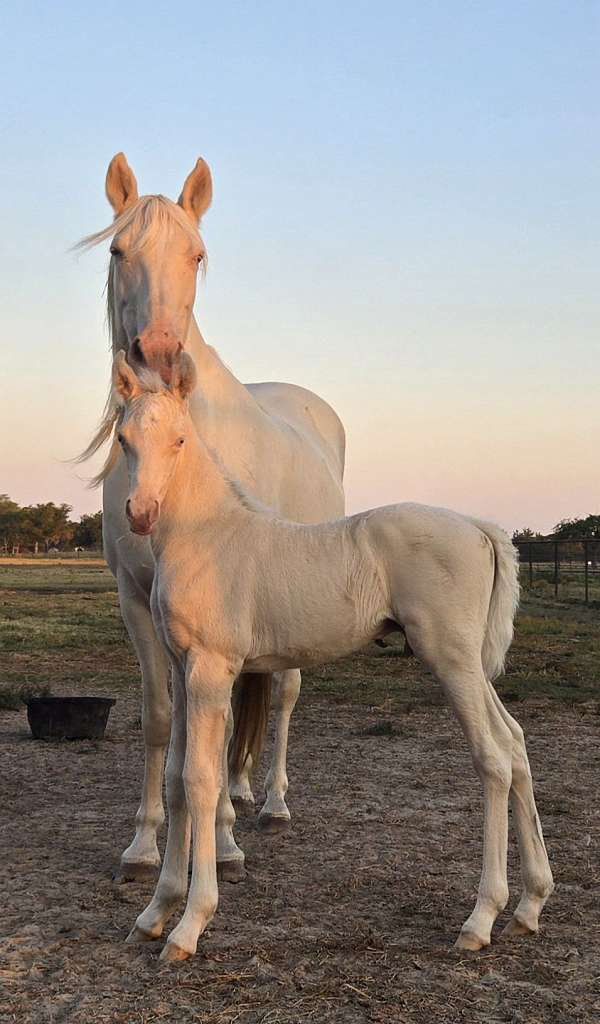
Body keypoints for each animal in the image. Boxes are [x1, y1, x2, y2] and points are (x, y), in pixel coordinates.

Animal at [77, 151, 344, 880]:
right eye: (117, 250)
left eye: (196, 255)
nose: (160, 355)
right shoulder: (138, 598)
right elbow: (162, 718)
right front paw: (146, 843)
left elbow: (218, 727)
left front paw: (220, 843)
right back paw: (242, 789)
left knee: (282, 694)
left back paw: (269, 802)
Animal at [113, 352, 552, 958]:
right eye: (124, 438)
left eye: (179, 439)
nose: (140, 512)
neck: (207, 536)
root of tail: (479, 528)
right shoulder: (182, 668)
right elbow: (177, 778)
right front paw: (156, 911)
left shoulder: (211, 669)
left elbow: (203, 781)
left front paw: (190, 924)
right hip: (471, 666)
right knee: (514, 742)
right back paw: (530, 906)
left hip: (452, 660)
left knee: (492, 756)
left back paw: (481, 917)